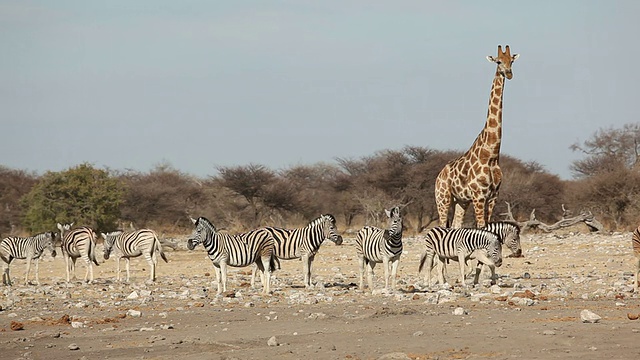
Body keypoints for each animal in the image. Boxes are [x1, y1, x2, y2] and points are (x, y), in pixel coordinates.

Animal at [436, 45, 520, 228]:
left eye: (512, 61)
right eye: (498, 61)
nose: (509, 73)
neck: (492, 154)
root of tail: (438, 176)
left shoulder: (493, 196)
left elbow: (488, 226)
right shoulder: (478, 196)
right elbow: (481, 227)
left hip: (461, 201)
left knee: (456, 225)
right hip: (443, 198)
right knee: (442, 225)